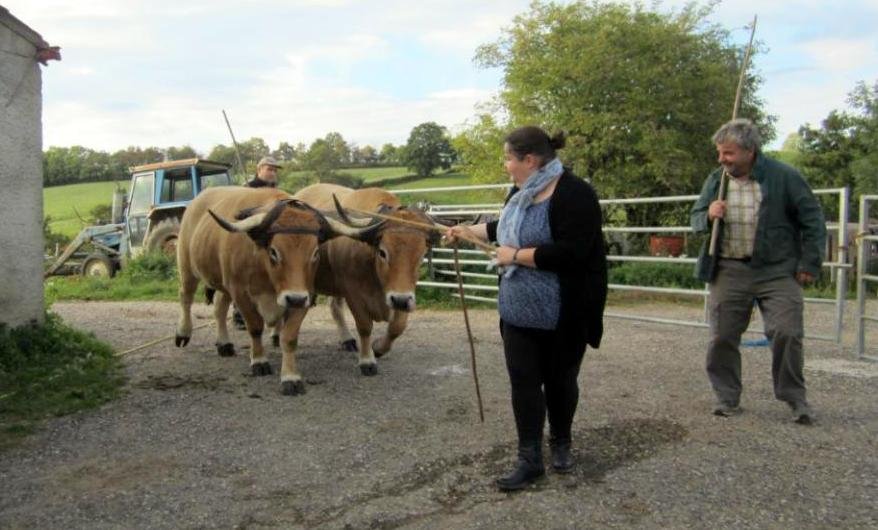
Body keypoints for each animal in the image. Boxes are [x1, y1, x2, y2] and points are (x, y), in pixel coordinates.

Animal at [174, 186, 382, 395]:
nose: (294, 298)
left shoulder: (304, 295)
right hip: (187, 267)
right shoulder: (241, 294)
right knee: (186, 297)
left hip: (223, 285)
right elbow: (255, 328)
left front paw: (290, 377)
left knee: (219, 308)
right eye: (274, 252)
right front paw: (259, 361)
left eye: (315, 252)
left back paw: (224, 344)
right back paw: (183, 333)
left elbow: (289, 338)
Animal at [293, 183, 441, 375]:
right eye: (383, 252)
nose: (400, 300)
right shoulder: (354, 294)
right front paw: (367, 361)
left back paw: (347, 340)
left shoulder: (403, 294)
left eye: (422, 255)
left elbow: (397, 327)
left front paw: (377, 348)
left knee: (335, 307)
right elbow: (364, 327)